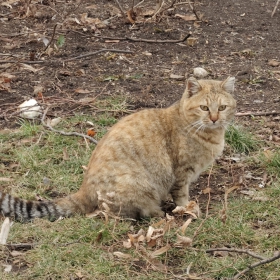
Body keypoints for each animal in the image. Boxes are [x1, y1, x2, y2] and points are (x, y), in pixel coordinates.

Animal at [0, 76, 236, 221]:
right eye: (204, 107)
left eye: (222, 107)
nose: (214, 119)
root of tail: (83, 191)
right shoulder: (181, 174)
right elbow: (182, 196)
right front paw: (187, 210)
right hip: (138, 185)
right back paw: (158, 214)